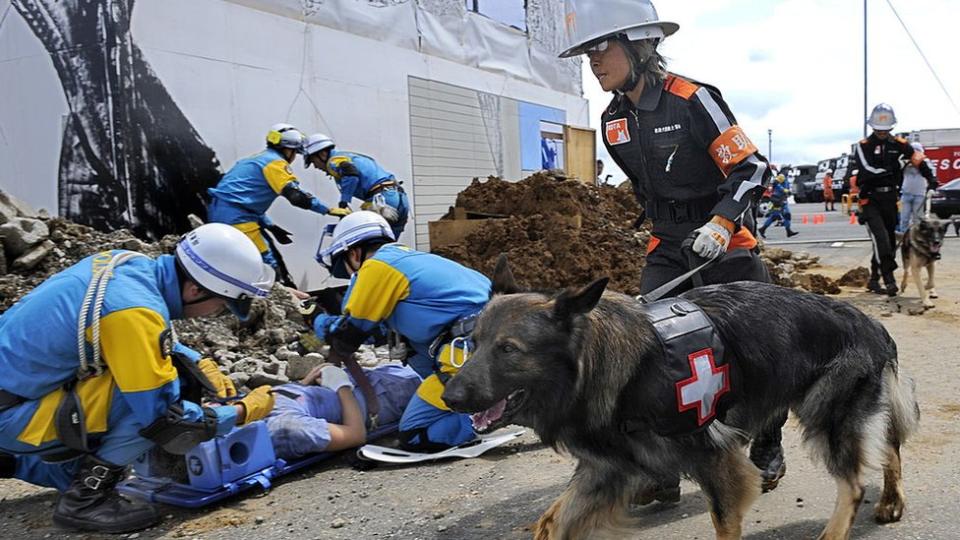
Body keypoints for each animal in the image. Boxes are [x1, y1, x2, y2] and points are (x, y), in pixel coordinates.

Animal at [442, 258, 924, 540]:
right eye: (474, 343)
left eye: (509, 349)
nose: (449, 396)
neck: (601, 364)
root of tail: (870, 324)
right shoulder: (606, 467)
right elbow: (553, 520)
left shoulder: (717, 460)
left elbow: (724, 522)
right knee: (889, 447)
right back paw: (891, 501)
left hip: (827, 415)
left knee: (855, 482)